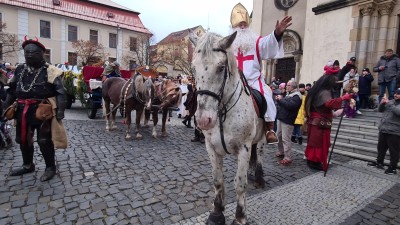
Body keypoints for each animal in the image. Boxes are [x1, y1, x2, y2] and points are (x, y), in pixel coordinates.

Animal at [191, 32, 268, 225]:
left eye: (220, 68)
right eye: (193, 69)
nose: (203, 120)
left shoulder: (244, 148)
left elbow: (240, 184)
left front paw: (240, 217)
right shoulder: (211, 148)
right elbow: (218, 180)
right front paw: (217, 213)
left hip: (262, 139)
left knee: (260, 155)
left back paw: (259, 177)